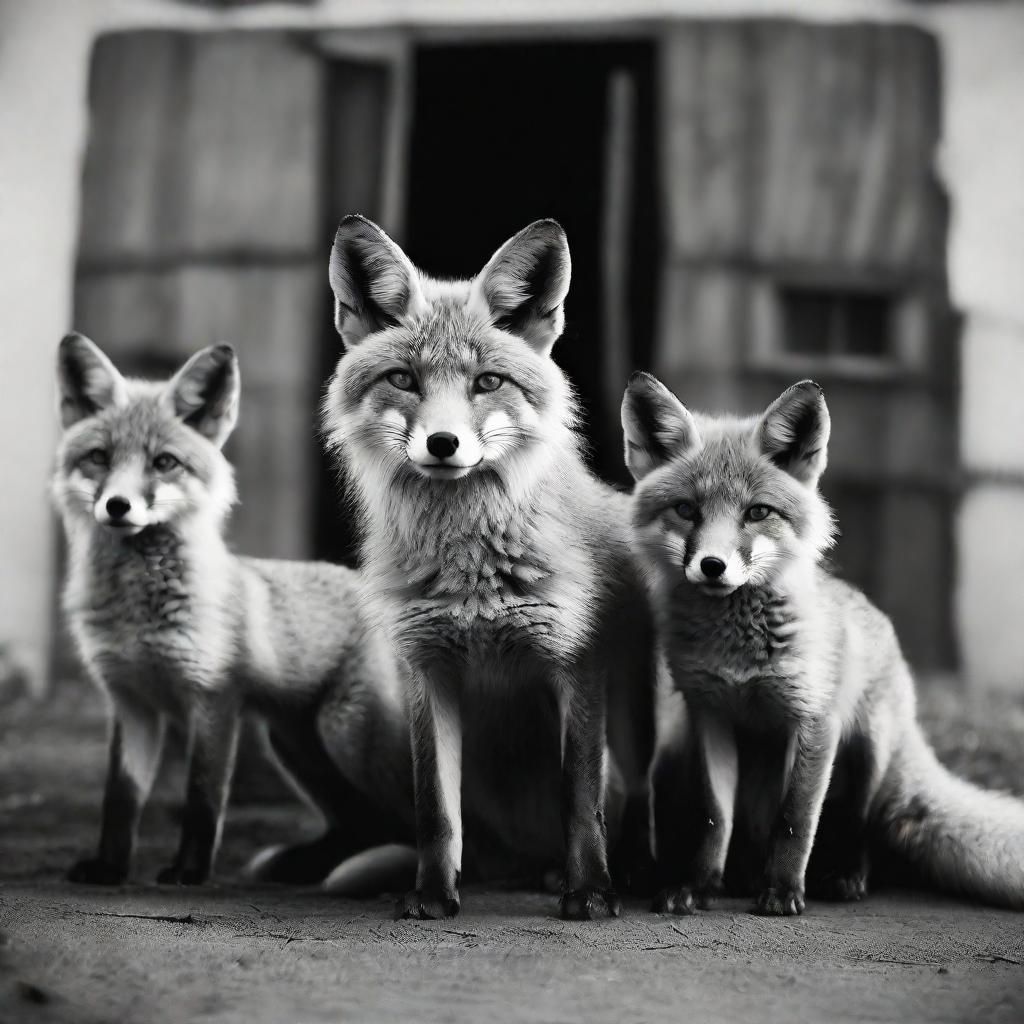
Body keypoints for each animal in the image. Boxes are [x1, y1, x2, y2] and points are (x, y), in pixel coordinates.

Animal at [53, 333, 415, 888]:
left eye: (164, 463)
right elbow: (120, 800)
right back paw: (309, 867)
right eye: (98, 457)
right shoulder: (132, 703)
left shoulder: (214, 697)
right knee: (364, 824)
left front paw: (189, 871)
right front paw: (109, 868)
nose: (117, 506)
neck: (138, 615)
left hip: (348, 733)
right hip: (296, 744)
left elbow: (203, 796)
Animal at [322, 215, 657, 920]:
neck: (470, 572)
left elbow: (580, 798)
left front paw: (590, 892)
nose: (443, 444)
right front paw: (432, 895)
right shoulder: (427, 669)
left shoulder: (576, 663)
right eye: (404, 380)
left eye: (487, 383)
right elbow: (434, 808)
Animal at [621, 372, 1024, 914]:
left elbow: (796, 820)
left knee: (860, 824)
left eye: (757, 513)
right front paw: (699, 885)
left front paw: (782, 891)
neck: (738, 652)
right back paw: (740, 876)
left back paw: (846, 877)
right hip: (686, 752)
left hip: (868, 751)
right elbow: (714, 817)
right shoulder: (710, 717)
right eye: (686, 510)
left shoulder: (814, 721)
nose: (712, 566)